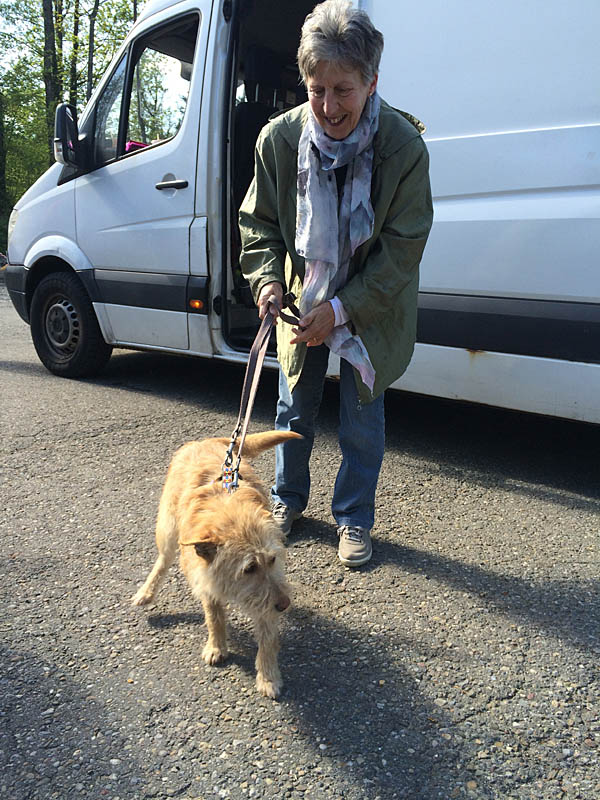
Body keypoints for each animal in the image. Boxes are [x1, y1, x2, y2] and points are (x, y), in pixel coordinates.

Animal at [132, 430, 301, 698]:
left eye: (273, 559)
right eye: (249, 568)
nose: (285, 604)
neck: (228, 510)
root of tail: (205, 442)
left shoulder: (266, 601)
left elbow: (267, 638)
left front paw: (268, 676)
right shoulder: (206, 581)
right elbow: (214, 618)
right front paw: (216, 646)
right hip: (168, 527)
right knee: (163, 560)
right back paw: (146, 592)